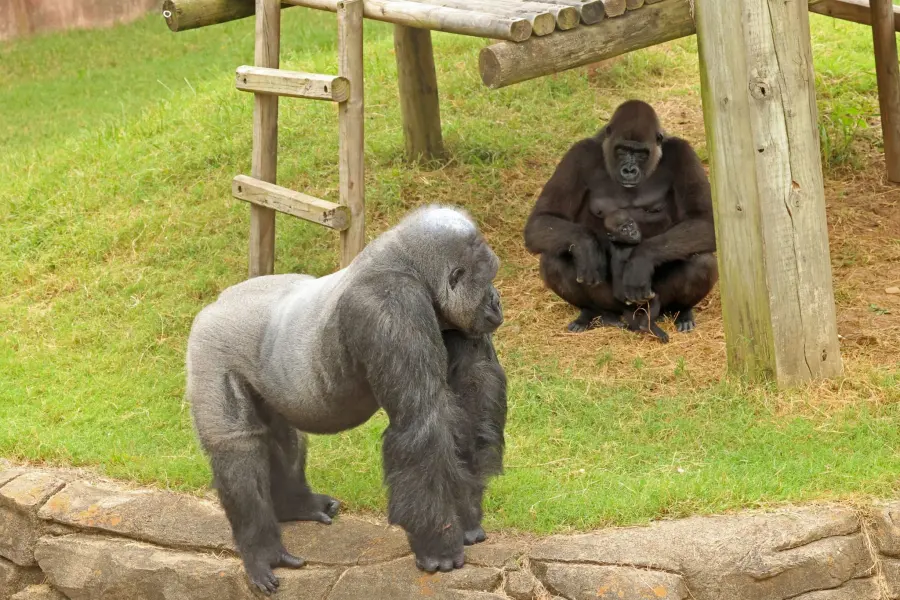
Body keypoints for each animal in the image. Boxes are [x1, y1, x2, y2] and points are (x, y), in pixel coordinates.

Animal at [185, 206, 507, 594]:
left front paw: (467, 514)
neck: (411, 267)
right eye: (488, 279)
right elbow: (421, 422)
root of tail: (215, 303)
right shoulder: (393, 306)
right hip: (208, 345)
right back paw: (261, 547)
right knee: (238, 447)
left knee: (280, 434)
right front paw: (438, 543)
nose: (497, 300)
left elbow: (475, 387)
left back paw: (295, 504)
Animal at [523, 99, 718, 336]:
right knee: (553, 258)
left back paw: (682, 311)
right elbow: (542, 219)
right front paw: (587, 246)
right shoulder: (578, 154)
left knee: (702, 260)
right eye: (623, 150)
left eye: (641, 153)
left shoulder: (683, 153)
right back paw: (590, 312)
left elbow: (705, 221)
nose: (629, 170)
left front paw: (641, 260)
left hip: (652, 303)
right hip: (613, 304)